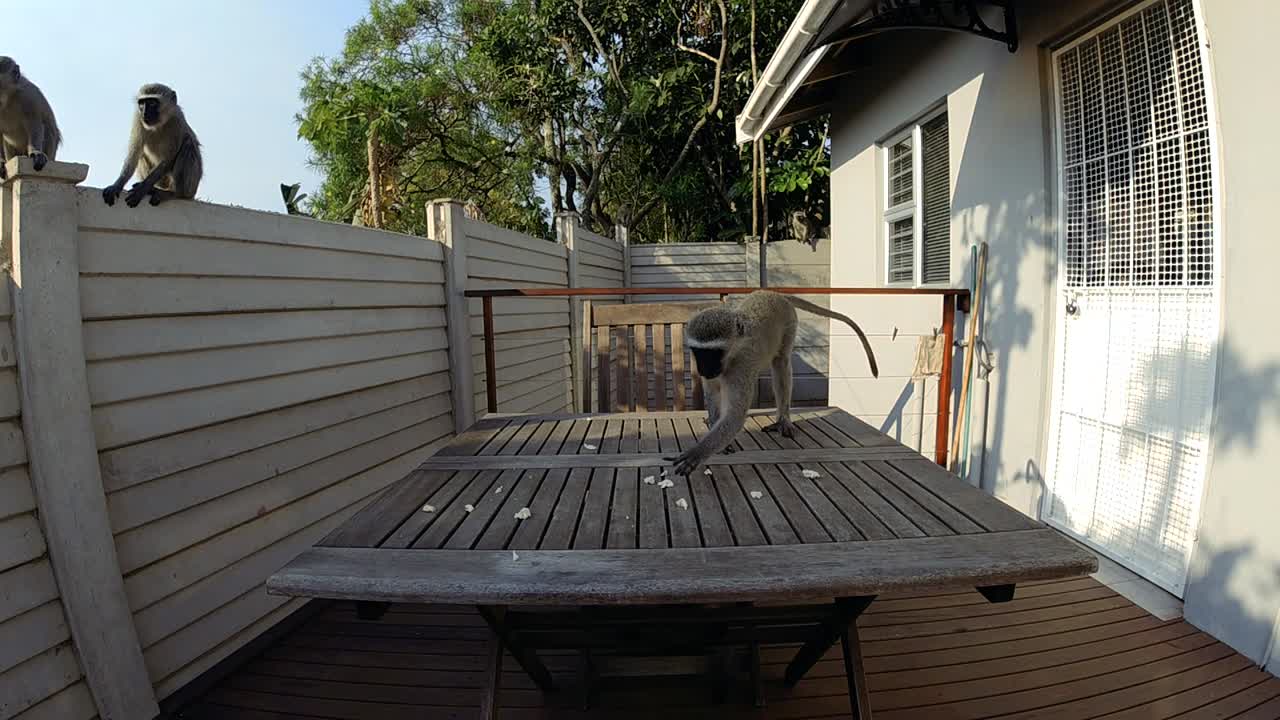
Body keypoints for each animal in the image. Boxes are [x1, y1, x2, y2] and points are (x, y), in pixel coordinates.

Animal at [665, 290, 878, 477]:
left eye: (714, 353)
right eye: (698, 352)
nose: (704, 369)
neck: (731, 357)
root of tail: (775, 293)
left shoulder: (740, 369)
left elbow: (735, 416)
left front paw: (698, 453)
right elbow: (714, 397)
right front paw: (714, 427)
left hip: (790, 323)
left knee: (781, 363)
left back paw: (783, 419)